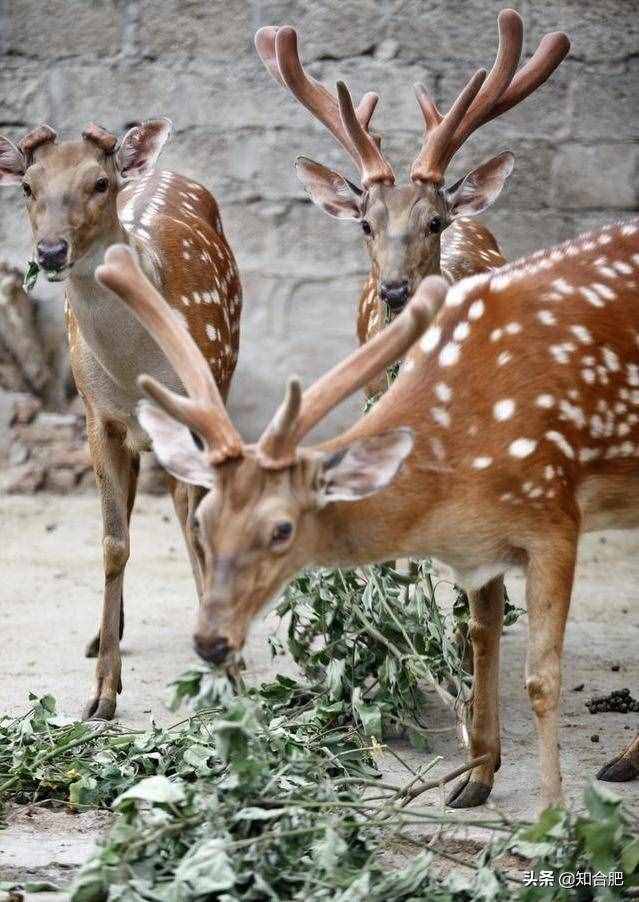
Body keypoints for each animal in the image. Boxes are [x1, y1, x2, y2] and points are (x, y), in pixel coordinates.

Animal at [0, 123, 242, 724]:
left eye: (99, 183)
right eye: (27, 186)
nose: (51, 250)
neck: (136, 367)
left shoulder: (197, 410)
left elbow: (198, 520)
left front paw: (226, 669)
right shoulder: (98, 418)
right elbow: (113, 541)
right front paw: (103, 691)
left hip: (221, 378)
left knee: (186, 507)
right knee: (137, 510)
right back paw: (103, 636)